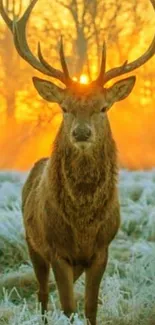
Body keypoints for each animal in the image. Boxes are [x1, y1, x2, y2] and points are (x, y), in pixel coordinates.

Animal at [0, 0, 154, 322]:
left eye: (104, 107)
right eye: (64, 106)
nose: (82, 132)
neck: (82, 225)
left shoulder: (102, 250)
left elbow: (90, 307)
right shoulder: (57, 250)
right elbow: (69, 308)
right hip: (32, 242)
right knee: (43, 295)